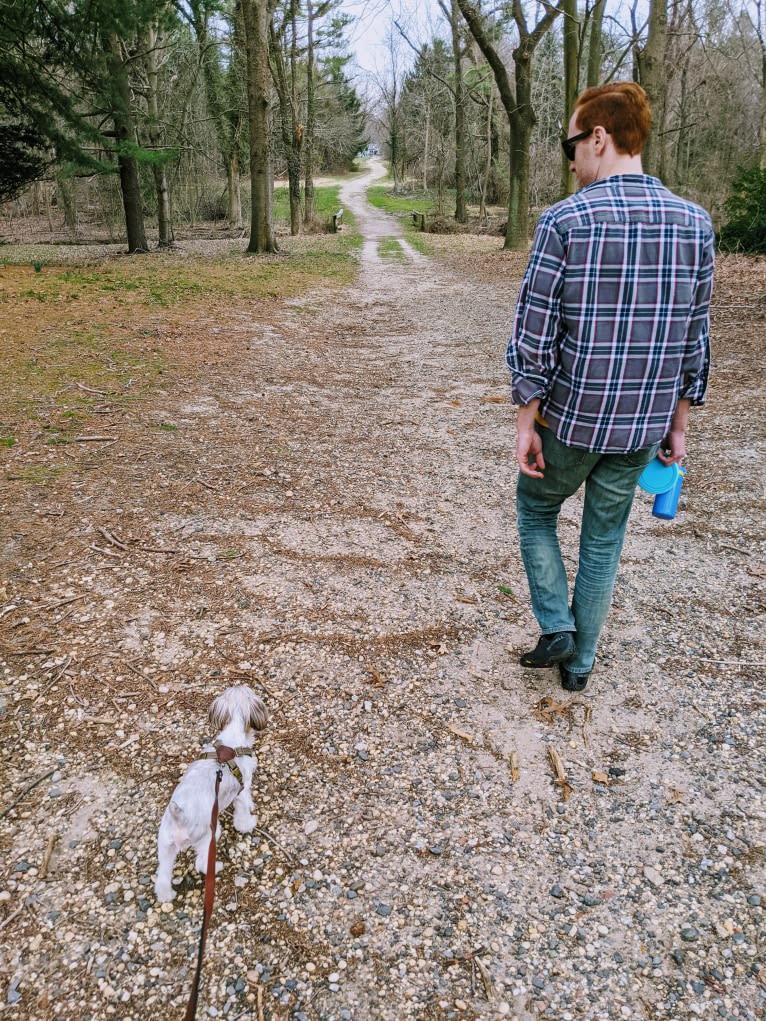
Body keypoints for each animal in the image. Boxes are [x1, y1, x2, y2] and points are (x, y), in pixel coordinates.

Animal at [154, 686, 267, 902]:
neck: (231, 743)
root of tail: (180, 818)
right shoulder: (242, 789)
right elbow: (243, 807)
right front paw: (248, 823)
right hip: (209, 836)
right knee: (201, 863)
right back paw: (217, 867)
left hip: (165, 846)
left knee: (162, 877)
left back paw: (166, 895)